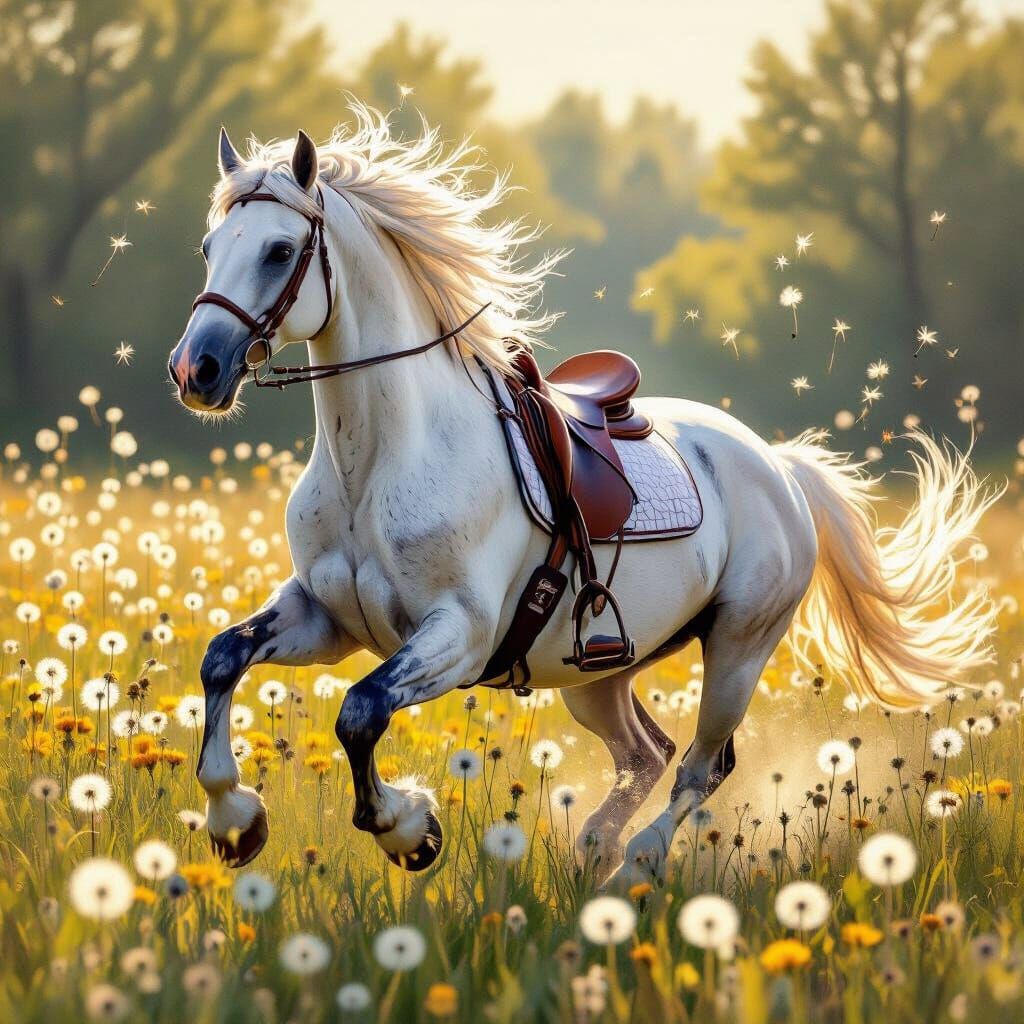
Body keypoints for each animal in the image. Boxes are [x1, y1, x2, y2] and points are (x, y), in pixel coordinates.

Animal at [168, 109, 998, 887]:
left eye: (279, 250)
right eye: (207, 248)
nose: (195, 370)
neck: (375, 462)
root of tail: (780, 467)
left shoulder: (458, 634)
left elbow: (359, 712)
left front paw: (410, 829)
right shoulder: (325, 615)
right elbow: (222, 658)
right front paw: (236, 819)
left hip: (739, 648)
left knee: (701, 766)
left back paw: (635, 863)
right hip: (600, 674)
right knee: (646, 754)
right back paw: (594, 848)